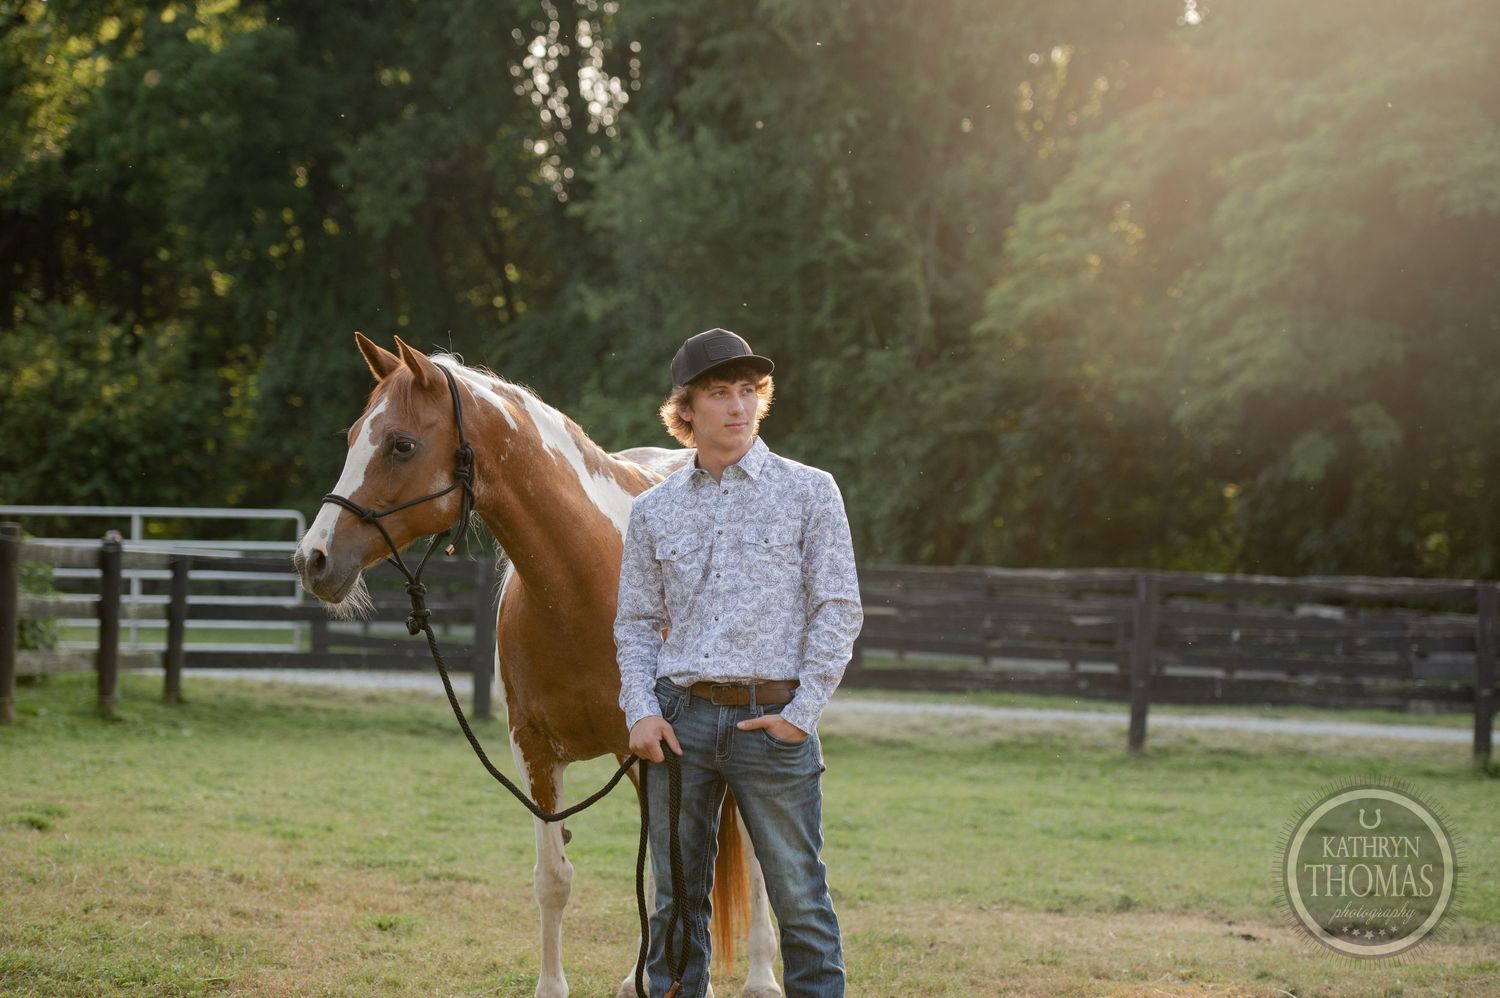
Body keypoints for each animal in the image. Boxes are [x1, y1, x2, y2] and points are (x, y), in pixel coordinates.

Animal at [292, 334, 785, 998]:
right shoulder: (535, 750)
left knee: (750, 858)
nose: (313, 559)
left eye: (401, 444)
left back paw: (760, 977)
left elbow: (685, 879)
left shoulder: (665, 757)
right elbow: (555, 878)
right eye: (352, 437)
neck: (588, 582)